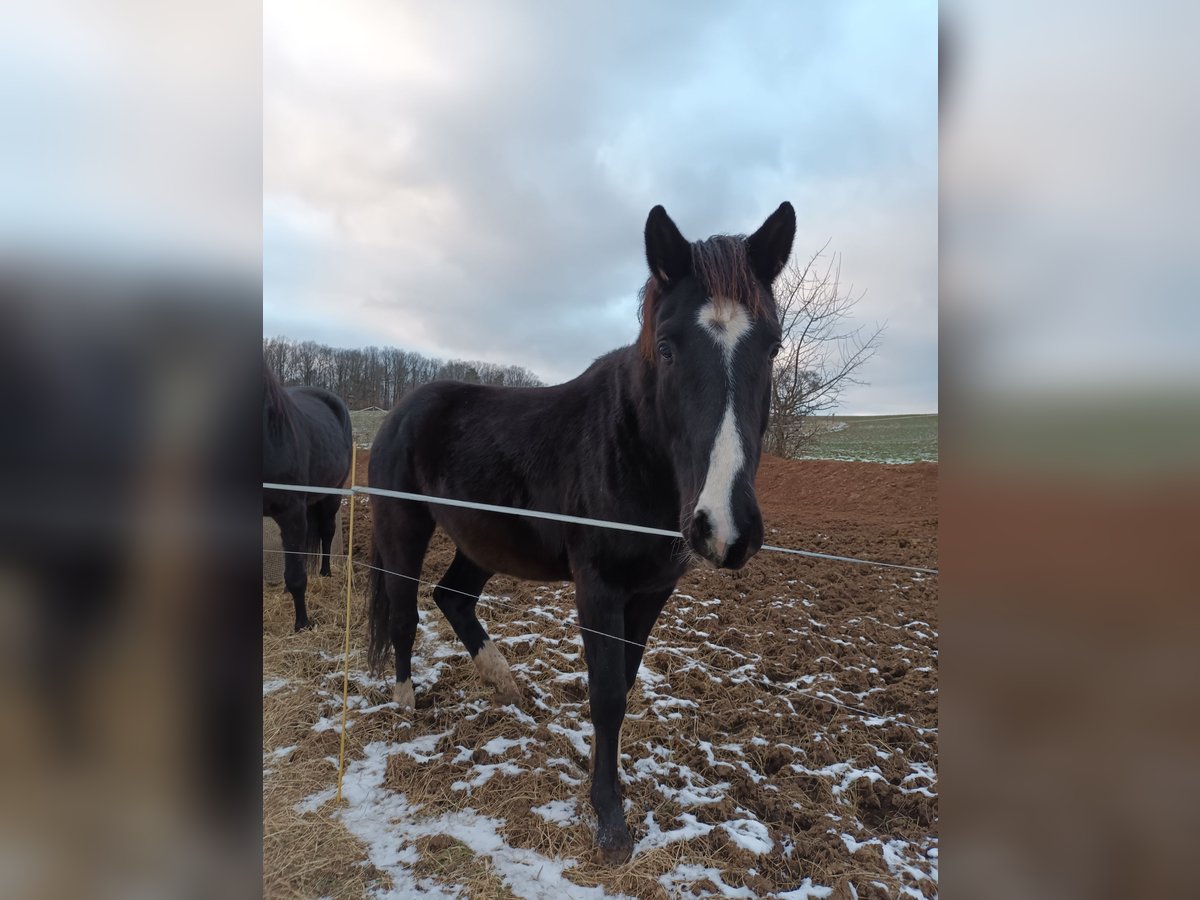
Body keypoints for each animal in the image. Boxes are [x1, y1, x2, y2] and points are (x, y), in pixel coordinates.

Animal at [261, 362, 350, 628]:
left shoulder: (292, 513)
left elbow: (297, 575)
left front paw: (302, 624)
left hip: (331, 496)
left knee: (326, 532)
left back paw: (326, 573)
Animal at [364, 200, 796, 864]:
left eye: (772, 347)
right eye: (667, 347)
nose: (725, 527)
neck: (636, 449)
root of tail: (401, 410)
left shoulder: (651, 592)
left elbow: (625, 683)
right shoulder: (598, 588)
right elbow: (607, 695)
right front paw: (610, 821)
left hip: (481, 541)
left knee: (453, 597)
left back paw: (508, 687)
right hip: (402, 530)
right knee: (405, 611)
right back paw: (407, 703)